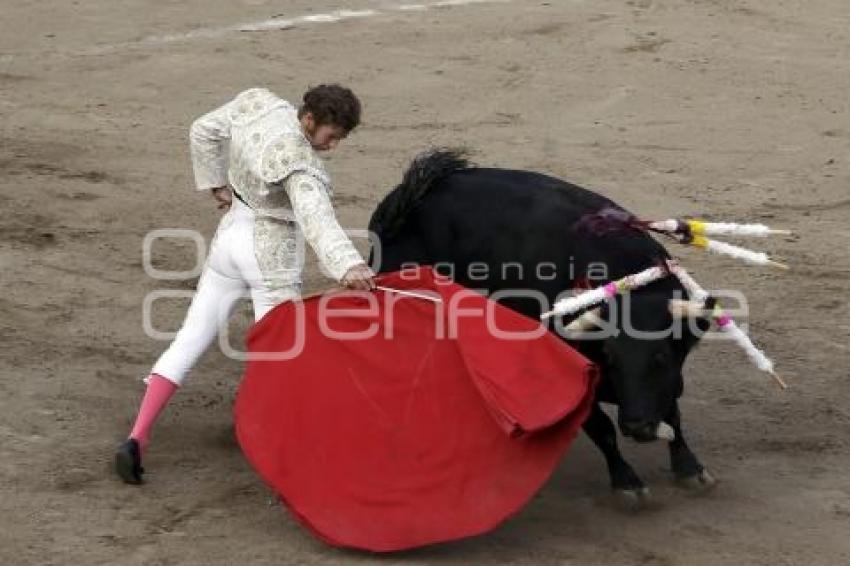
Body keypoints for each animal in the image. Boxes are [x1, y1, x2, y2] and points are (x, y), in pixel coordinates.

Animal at [364, 150, 716, 502]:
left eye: (661, 358)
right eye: (610, 356)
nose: (637, 427)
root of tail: (409, 194)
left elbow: (673, 412)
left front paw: (690, 468)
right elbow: (601, 427)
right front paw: (627, 482)